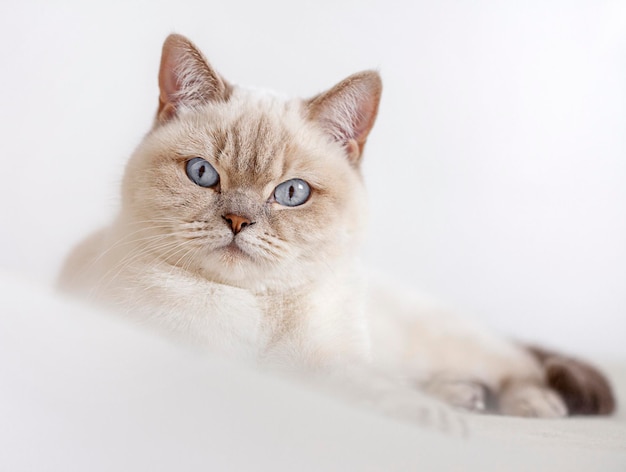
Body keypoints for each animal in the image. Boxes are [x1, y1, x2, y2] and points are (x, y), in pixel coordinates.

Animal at [56, 33, 612, 422]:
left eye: (291, 193)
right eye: (202, 174)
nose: (237, 220)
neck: (251, 307)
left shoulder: (330, 364)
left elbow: (363, 388)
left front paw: (426, 418)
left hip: (446, 343)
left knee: (519, 366)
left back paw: (525, 403)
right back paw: (465, 397)